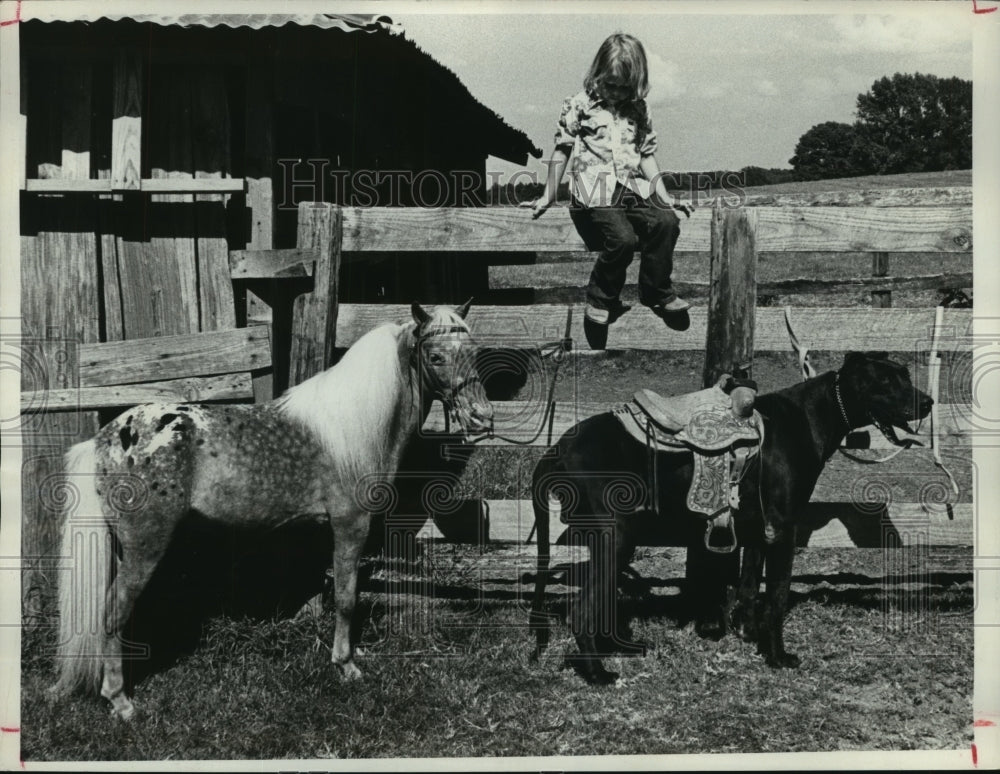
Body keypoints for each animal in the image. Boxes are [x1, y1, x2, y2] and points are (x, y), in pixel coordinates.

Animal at [53, 304, 492, 720]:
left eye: (474, 352)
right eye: (435, 356)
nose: (482, 417)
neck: (350, 429)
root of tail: (108, 436)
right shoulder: (350, 524)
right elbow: (347, 596)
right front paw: (346, 665)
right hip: (145, 546)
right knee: (114, 613)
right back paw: (120, 701)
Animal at [536, 352, 932, 684]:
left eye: (905, 374)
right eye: (884, 381)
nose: (928, 403)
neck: (808, 416)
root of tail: (558, 447)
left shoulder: (757, 531)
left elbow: (747, 589)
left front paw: (748, 636)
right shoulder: (782, 529)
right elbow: (776, 597)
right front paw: (778, 656)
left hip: (618, 539)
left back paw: (621, 649)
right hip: (614, 536)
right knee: (582, 609)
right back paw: (596, 673)